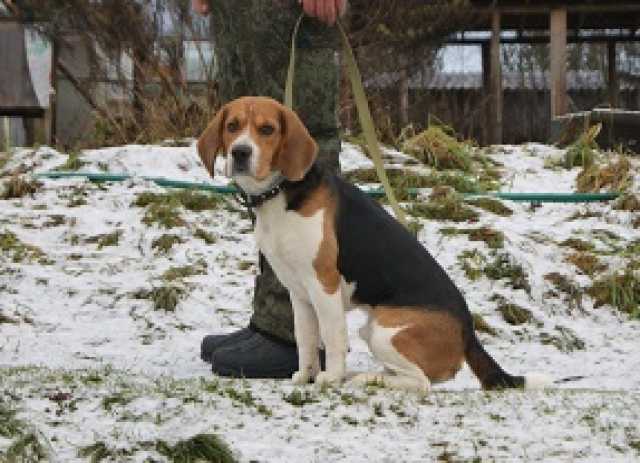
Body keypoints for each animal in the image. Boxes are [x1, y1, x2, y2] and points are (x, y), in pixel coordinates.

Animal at [198, 96, 548, 394]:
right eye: (233, 126)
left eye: (267, 129)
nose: (240, 153)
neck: (281, 193)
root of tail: (468, 332)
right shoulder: (298, 292)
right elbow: (305, 340)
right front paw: (303, 376)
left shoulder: (323, 285)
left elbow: (332, 337)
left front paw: (330, 378)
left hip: (384, 331)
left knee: (420, 382)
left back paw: (362, 378)